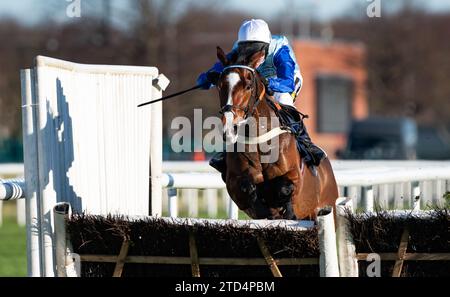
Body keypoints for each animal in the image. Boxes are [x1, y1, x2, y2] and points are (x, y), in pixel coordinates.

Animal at [214, 45, 338, 217]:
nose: (230, 128)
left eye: (248, 86)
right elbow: (246, 188)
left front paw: (283, 208)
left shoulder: (295, 176)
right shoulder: (233, 182)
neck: (258, 140)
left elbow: (284, 188)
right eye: (220, 86)